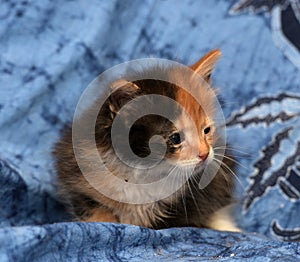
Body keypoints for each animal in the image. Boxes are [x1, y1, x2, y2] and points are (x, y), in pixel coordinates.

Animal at [52, 50, 239, 230]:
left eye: (206, 130)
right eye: (175, 137)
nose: (205, 154)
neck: (144, 173)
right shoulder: (82, 182)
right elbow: (98, 214)